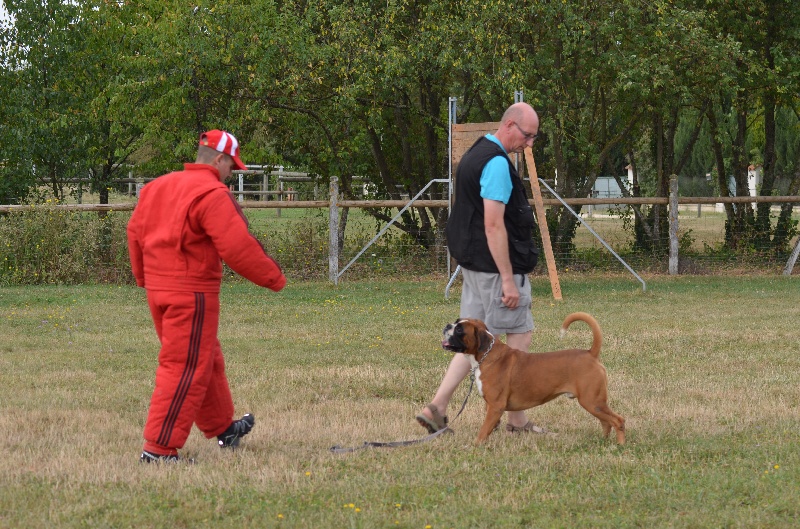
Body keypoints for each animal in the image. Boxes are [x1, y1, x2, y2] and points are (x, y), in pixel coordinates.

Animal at [444, 312, 624, 444]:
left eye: (459, 329)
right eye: (456, 321)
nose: (447, 326)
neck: (486, 356)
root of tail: (590, 353)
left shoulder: (495, 407)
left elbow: (483, 430)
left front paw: (476, 445)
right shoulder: (491, 407)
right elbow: (489, 427)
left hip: (592, 401)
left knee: (618, 420)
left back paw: (619, 445)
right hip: (594, 404)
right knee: (606, 421)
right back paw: (603, 441)